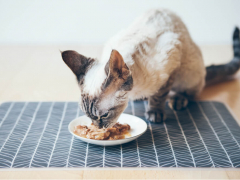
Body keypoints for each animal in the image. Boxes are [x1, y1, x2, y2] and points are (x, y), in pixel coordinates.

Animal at [60, 9, 240, 129]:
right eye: (88, 116)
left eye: (103, 115)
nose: (98, 128)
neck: (134, 91)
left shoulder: (171, 62)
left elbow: (159, 96)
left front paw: (155, 113)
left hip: (189, 73)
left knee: (191, 92)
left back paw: (178, 99)